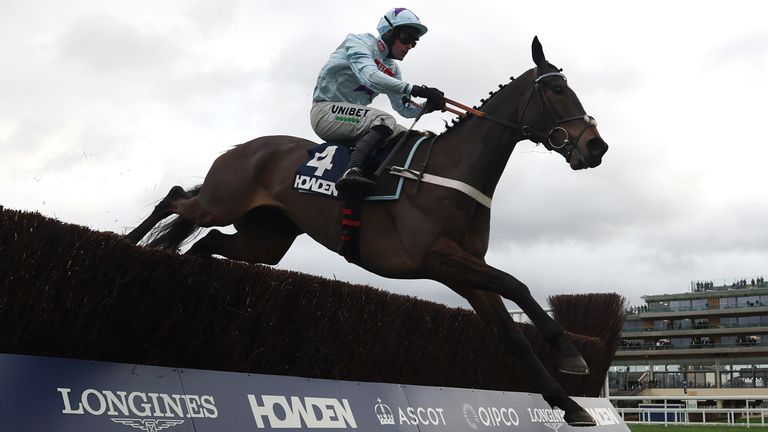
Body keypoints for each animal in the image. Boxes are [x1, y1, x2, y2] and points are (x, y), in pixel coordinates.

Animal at [124, 36, 608, 426]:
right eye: (558, 89)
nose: (596, 147)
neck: (450, 173)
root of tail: (242, 148)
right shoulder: (437, 257)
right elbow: (517, 284)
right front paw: (571, 354)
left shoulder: (466, 270)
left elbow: (512, 333)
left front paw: (571, 405)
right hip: (220, 202)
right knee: (175, 199)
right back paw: (129, 245)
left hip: (264, 240)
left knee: (207, 242)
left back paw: (188, 279)